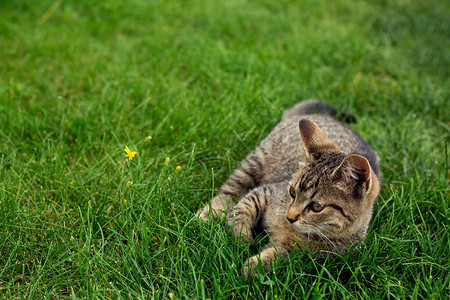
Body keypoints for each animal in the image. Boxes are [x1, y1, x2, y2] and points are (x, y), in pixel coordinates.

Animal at [197, 100, 380, 276]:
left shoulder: (310, 256)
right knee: (230, 190)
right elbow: (242, 208)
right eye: (292, 192)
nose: (290, 216)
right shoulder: (266, 191)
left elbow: (276, 258)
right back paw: (210, 213)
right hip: (255, 161)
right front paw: (240, 236)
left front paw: (251, 268)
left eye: (317, 206)